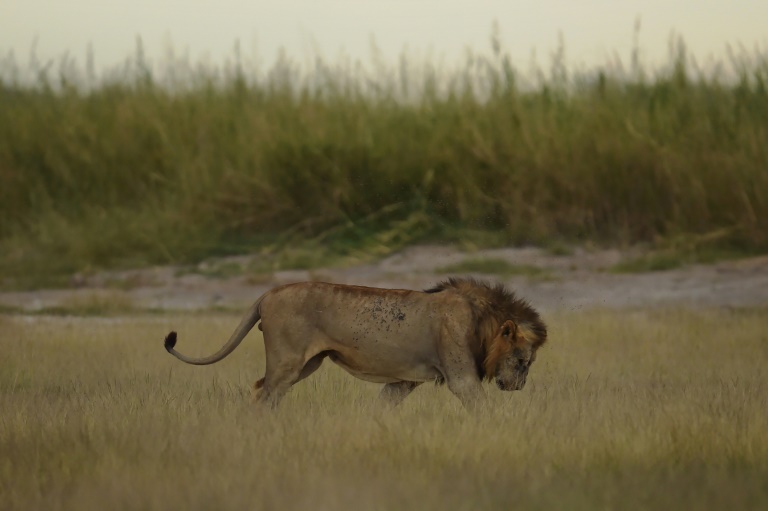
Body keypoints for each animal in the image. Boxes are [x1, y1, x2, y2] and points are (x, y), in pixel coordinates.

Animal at [163, 278, 544, 410]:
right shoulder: (462, 378)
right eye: (523, 362)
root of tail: (269, 292)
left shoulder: (403, 380)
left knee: (260, 389)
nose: (519, 386)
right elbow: (482, 409)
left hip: (307, 363)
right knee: (265, 394)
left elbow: (383, 407)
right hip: (288, 362)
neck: (482, 321)